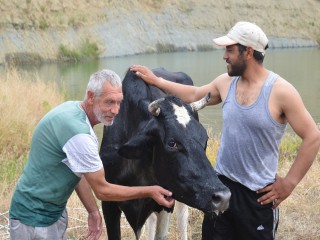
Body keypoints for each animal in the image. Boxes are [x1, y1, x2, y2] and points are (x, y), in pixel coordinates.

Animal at [100, 67, 230, 240]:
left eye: (205, 139)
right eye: (172, 143)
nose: (223, 197)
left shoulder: (166, 202)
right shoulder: (108, 203)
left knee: (182, 219)